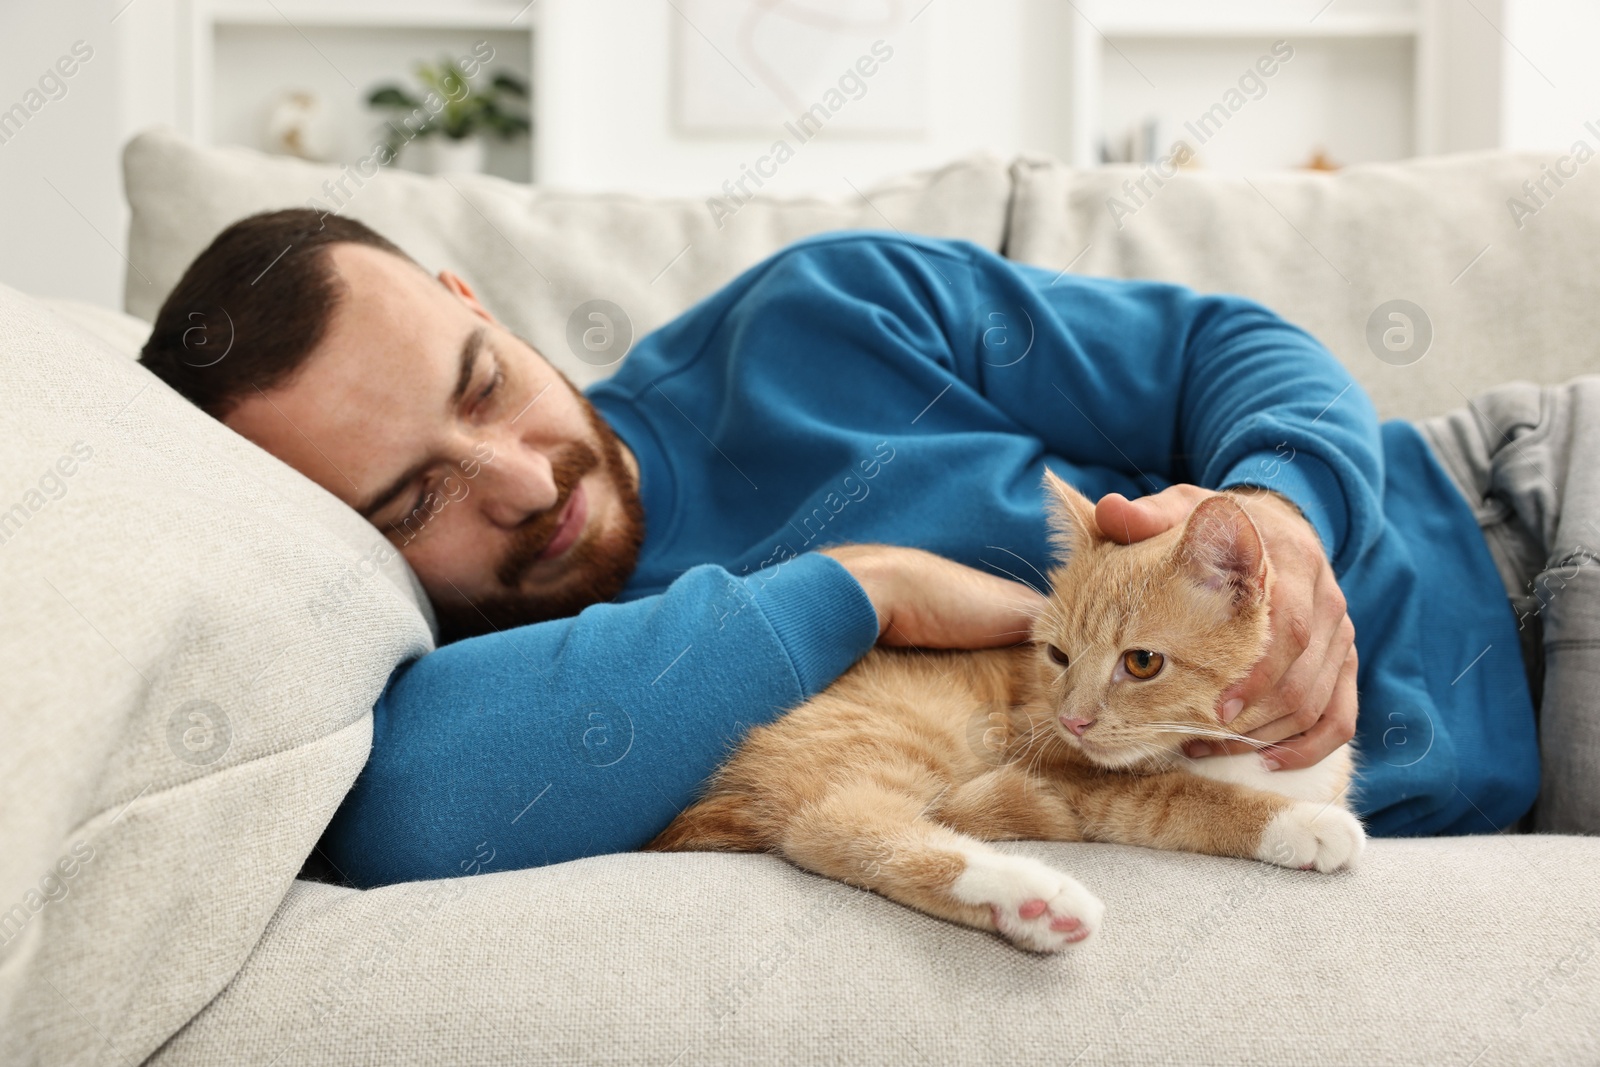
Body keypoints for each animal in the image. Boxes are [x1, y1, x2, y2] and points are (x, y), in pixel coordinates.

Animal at [643, 470, 1369, 953]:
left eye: (1141, 662)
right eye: (1057, 654)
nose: (1072, 720)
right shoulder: (1071, 776)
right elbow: (1180, 798)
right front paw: (1301, 823)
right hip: (896, 731)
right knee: (837, 823)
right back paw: (1031, 897)